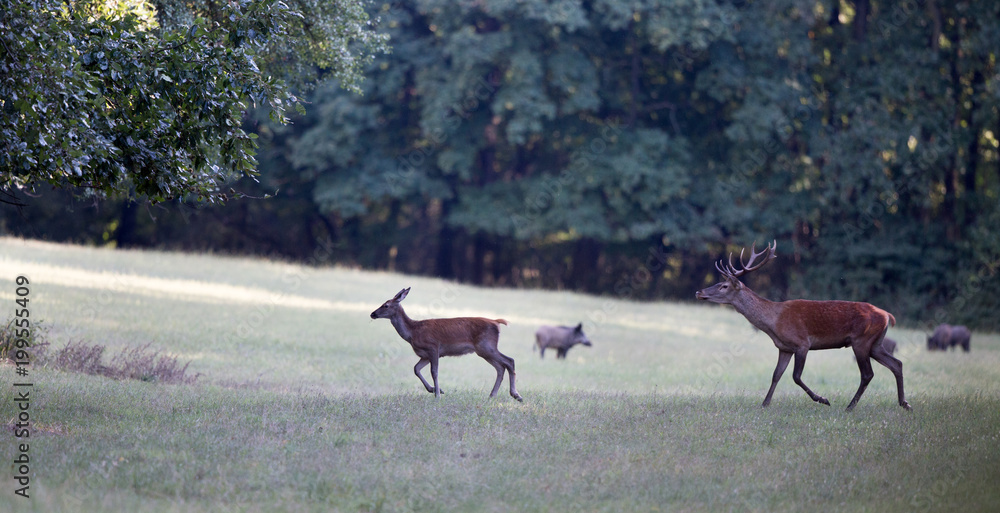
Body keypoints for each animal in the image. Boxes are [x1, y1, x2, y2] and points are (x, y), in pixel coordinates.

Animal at [369, 287, 523, 402]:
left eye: (386, 305)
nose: (372, 314)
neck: (412, 332)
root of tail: (496, 322)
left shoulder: (433, 347)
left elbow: (434, 372)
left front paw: (437, 394)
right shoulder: (425, 355)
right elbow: (416, 369)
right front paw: (434, 390)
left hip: (486, 346)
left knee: (509, 361)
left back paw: (516, 395)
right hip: (484, 350)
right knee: (500, 367)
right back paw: (492, 395)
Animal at [695, 241, 910, 411]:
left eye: (724, 286)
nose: (699, 292)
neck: (773, 322)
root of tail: (887, 315)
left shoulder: (802, 343)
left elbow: (795, 376)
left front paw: (823, 399)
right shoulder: (784, 347)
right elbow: (776, 375)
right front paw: (765, 403)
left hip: (861, 340)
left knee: (867, 374)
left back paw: (850, 406)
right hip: (876, 343)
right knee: (897, 364)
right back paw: (904, 403)